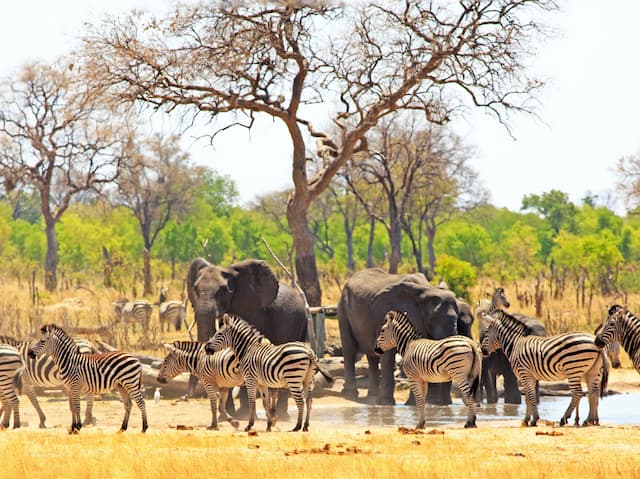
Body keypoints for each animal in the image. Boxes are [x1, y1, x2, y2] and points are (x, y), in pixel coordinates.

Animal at [185, 256, 308, 418]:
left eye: (225, 290)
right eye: (195, 289)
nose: (187, 396)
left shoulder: (250, 311)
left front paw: (241, 414)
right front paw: (228, 414)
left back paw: (281, 415)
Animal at [205, 314, 336, 434]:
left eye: (219, 334)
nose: (206, 348)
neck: (247, 350)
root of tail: (308, 351)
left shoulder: (250, 380)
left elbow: (252, 402)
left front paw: (249, 426)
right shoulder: (262, 384)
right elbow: (265, 404)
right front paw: (268, 426)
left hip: (293, 379)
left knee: (300, 402)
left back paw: (297, 427)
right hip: (307, 379)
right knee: (309, 401)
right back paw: (305, 426)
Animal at [336, 268, 460, 406]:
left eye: (457, 317)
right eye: (433, 319)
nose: (443, 404)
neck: (426, 290)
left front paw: (414, 404)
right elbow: (388, 355)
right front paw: (386, 403)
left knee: (372, 356)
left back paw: (372, 395)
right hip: (343, 309)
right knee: (350, 350)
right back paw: (350, 394)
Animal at [480, 312, 608, 428]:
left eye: (486, 333)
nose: (482, 350)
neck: (516, 343)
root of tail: (595, 342)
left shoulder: (524, 373)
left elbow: (530, 396)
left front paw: (533, 420)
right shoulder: (530, 376)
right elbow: (528, 397)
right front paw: (527, 420)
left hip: (573, 369)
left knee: (578, 393)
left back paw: (564, 419)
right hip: (592, 371)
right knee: (593, 393)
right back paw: (590, 420)